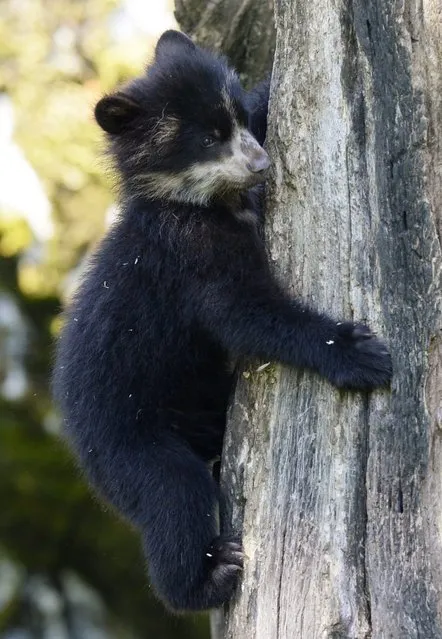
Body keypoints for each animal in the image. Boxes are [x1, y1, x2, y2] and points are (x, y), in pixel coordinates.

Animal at [51, 31, 390, 616]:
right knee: (173, 495)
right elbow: (248, 313)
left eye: (237, 120)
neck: (203, 202)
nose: (262, 163)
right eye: (209, 138)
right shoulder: (193, 256)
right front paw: (358, 353)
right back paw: (208, 580)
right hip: (130, 444)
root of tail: (75, 442)